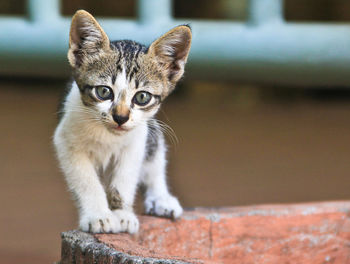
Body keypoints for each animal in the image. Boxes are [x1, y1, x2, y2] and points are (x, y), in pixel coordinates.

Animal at [53, 10, 191, 233]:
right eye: (103, 92)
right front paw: (98, 215)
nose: (120, 117)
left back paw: (161, 198)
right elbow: (86, 181)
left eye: (142, 97)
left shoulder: (137, 142)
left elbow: (124, 181)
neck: (107, 135)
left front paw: (122, 214)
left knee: (155, 159)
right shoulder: (66, 141)